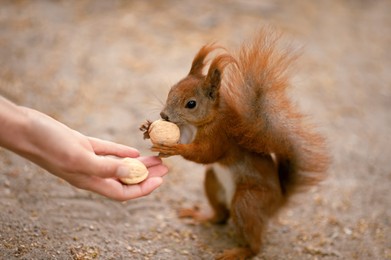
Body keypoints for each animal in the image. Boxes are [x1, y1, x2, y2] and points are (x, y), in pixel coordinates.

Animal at [141, 29, 330, 258]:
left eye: (191, 104)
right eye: (171, 90)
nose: (164, 115)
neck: (205, 120)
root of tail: (279, 200)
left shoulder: (219, 136)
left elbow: (205, 154)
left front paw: (174, 148)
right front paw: (148, 128)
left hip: (248, 202)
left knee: (255, 244)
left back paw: (238, 252)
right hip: (213, 182)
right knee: (220, 216)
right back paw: (201, 216)